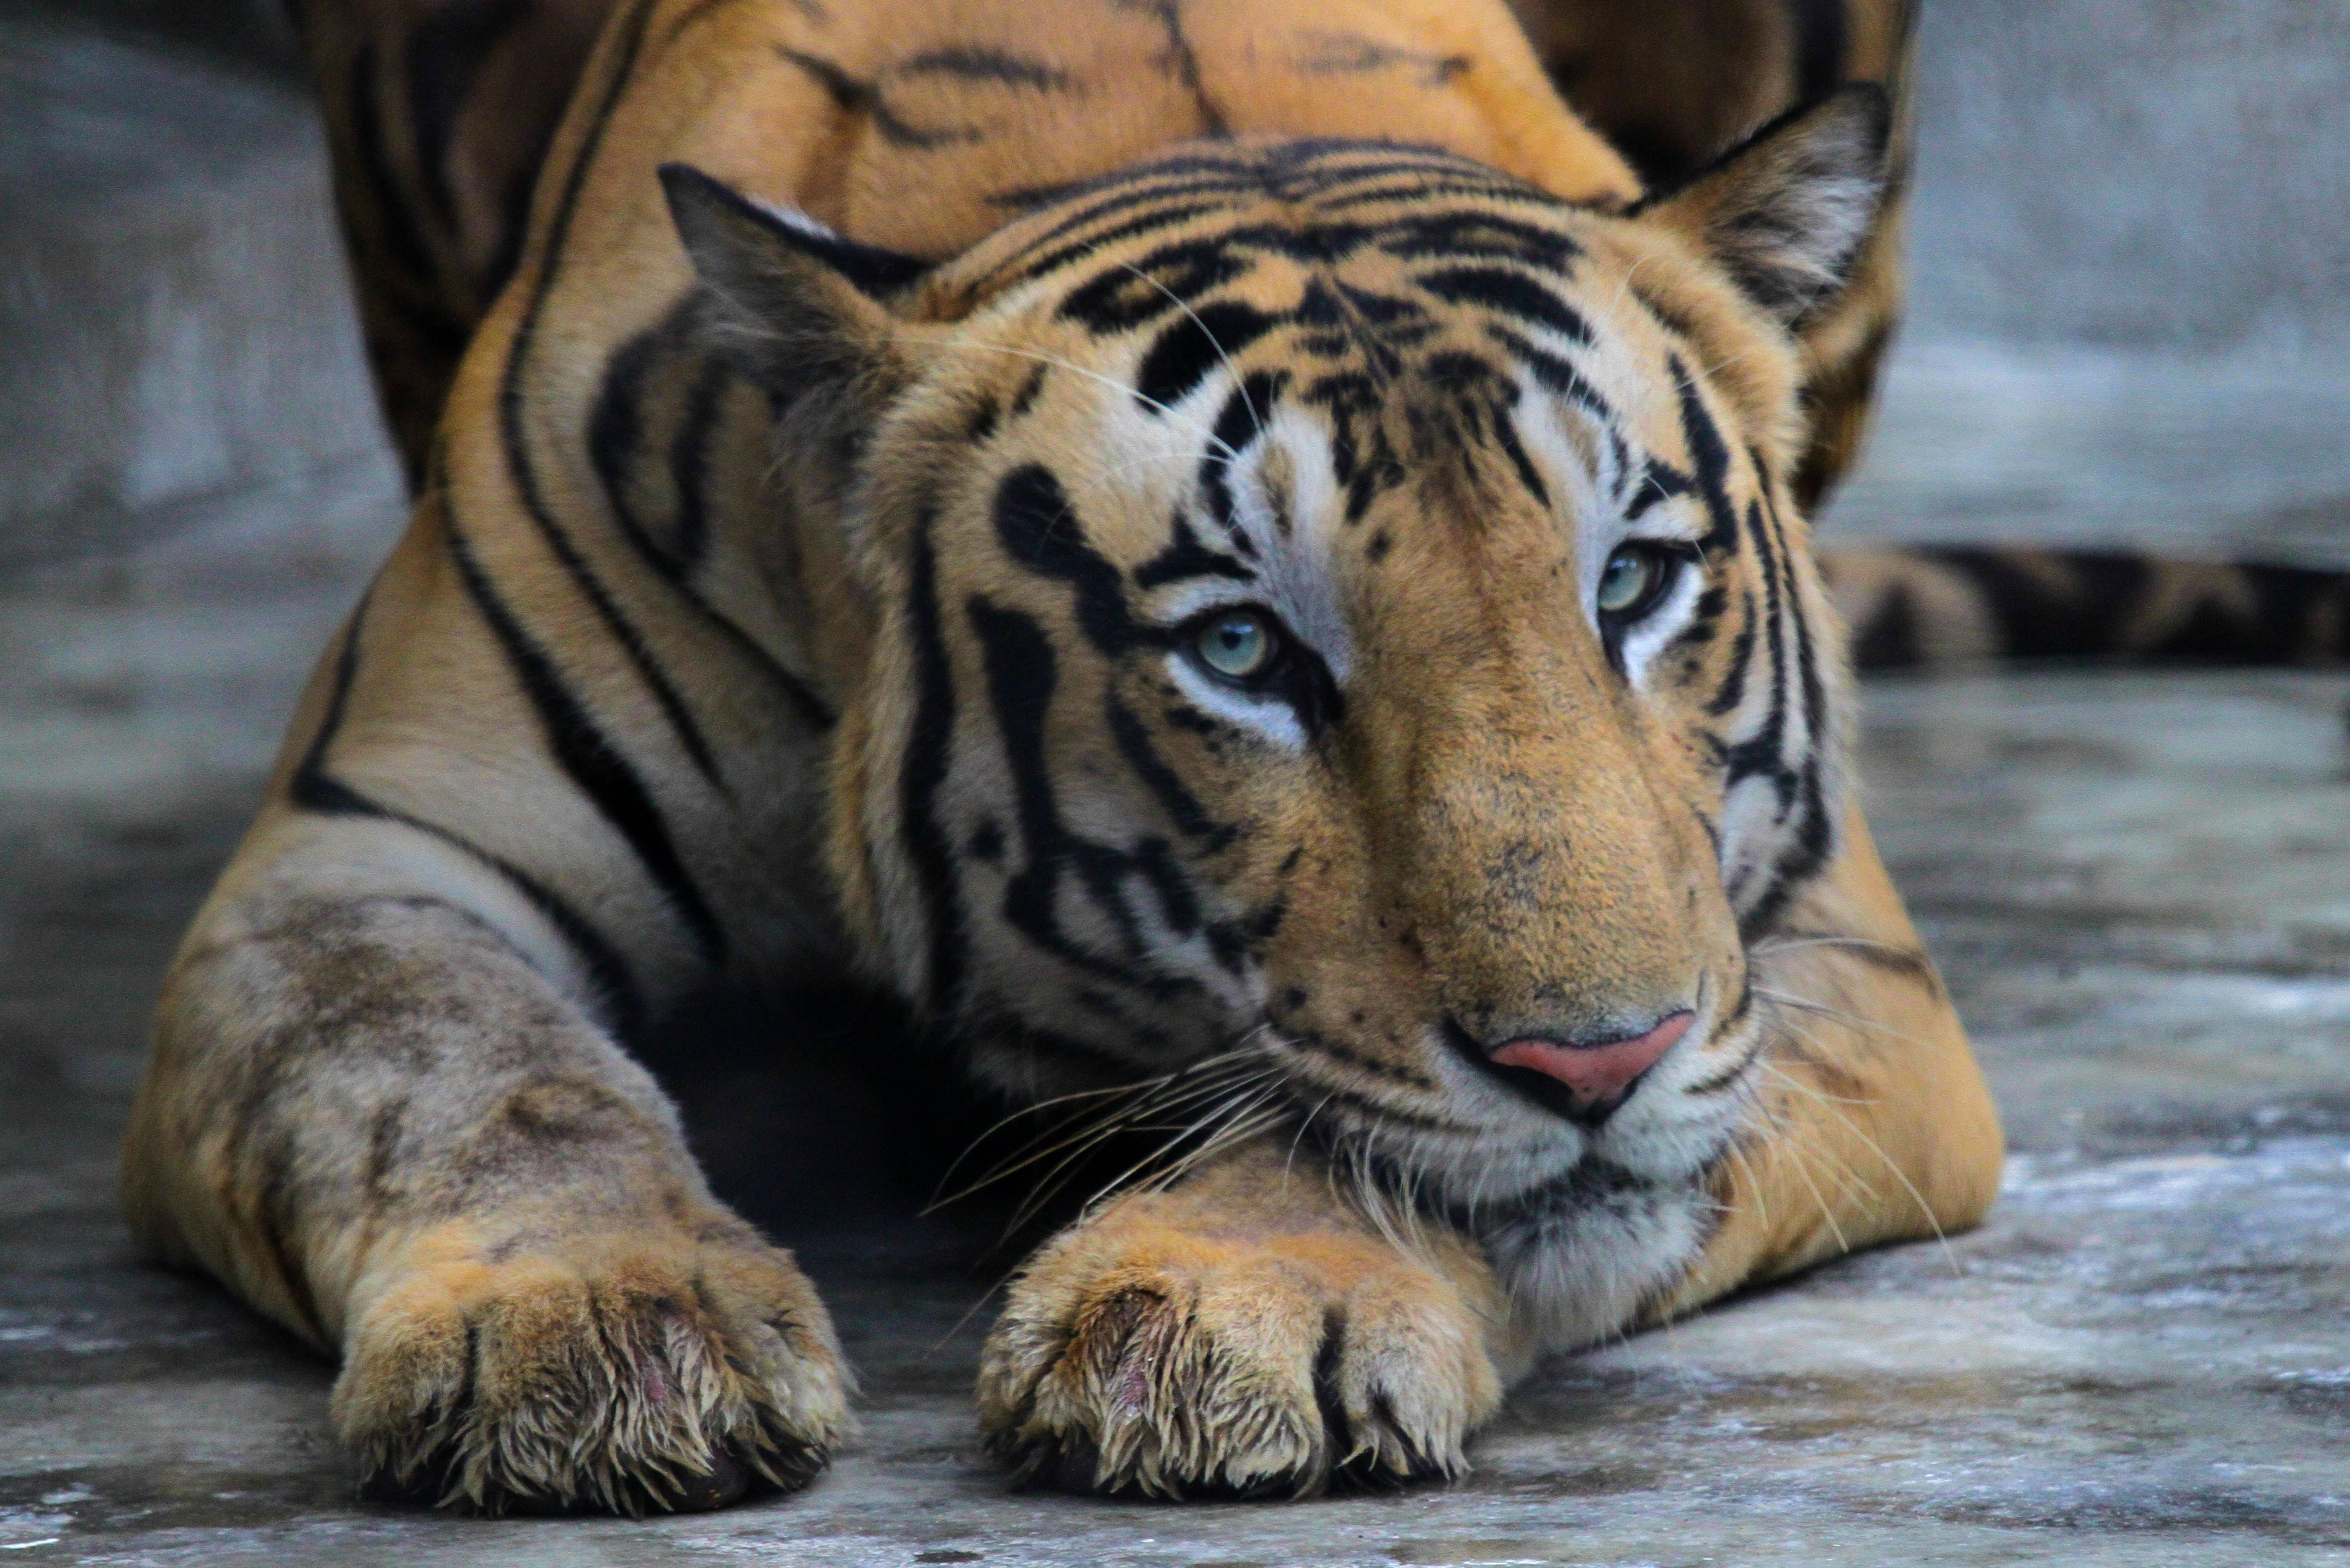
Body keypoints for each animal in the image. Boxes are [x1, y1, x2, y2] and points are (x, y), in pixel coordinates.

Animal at [119, 0, 2340, 1523]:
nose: (1599, 1060)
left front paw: (1227, 1308)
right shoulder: (363, 852)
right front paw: (591, 1326)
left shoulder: (1824, 959)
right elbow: (449, 1068)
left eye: (1631, 579)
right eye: (1244, 649)